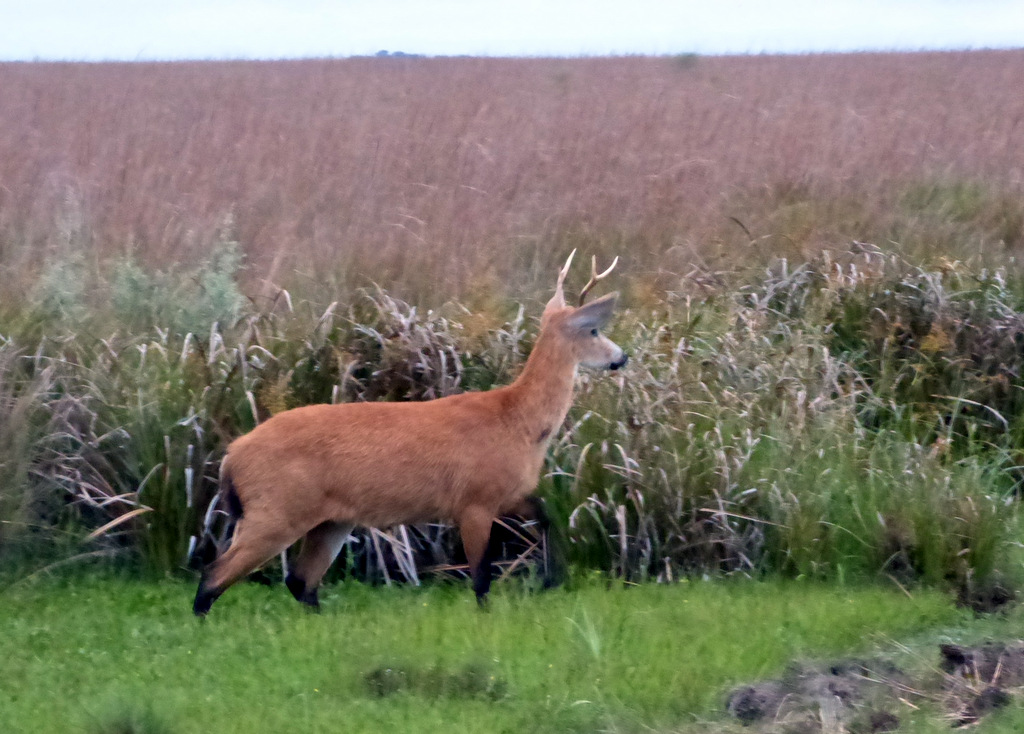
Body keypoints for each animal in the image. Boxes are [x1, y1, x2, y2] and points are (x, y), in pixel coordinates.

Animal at [193, 250, 626, 616]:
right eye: (593, 331)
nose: (621, 357)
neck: (517, 422)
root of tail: (232, 455)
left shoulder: (505, 492)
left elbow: (546, 515)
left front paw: (552, 581)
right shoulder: (473, 498)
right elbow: (480, 575)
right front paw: (488, 615)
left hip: (330, 520)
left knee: (300, 582)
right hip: (276, 508)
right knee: (214, 574)